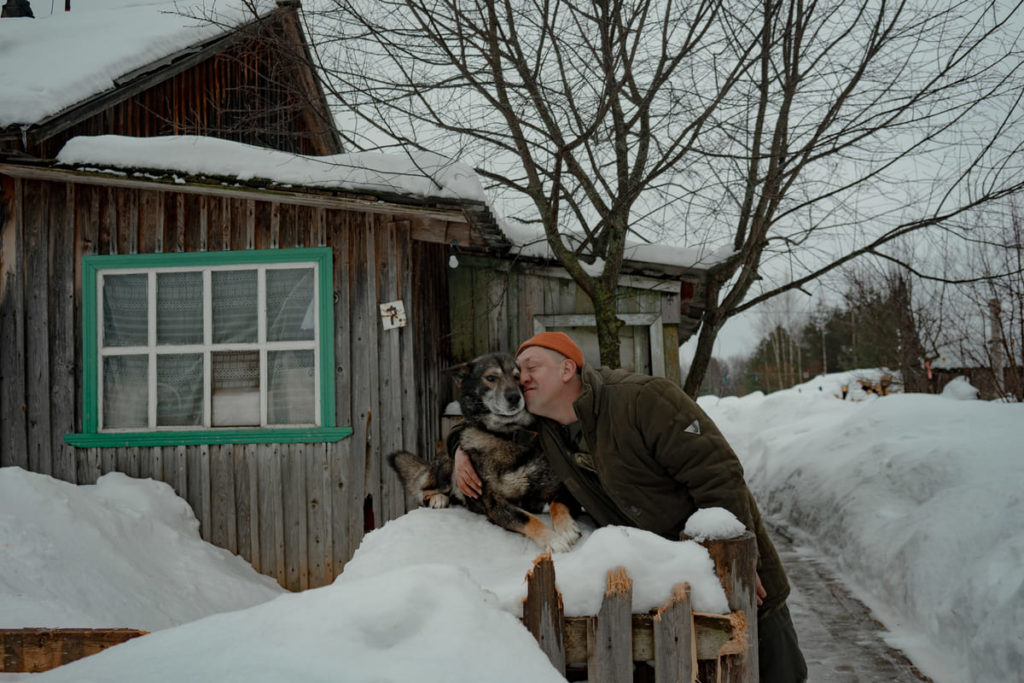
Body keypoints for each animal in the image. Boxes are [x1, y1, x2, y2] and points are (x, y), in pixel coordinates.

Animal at [387, 356, 581, 552]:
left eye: (517, 377)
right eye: (491, 378)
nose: (514, 397)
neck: (508, 435)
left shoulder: (561, 490)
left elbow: (558, 504)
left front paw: (566, 528)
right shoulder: (497, 506)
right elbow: (528, 518)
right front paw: (552, 539)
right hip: (447, 466)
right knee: (425, 489)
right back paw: (438, 499)